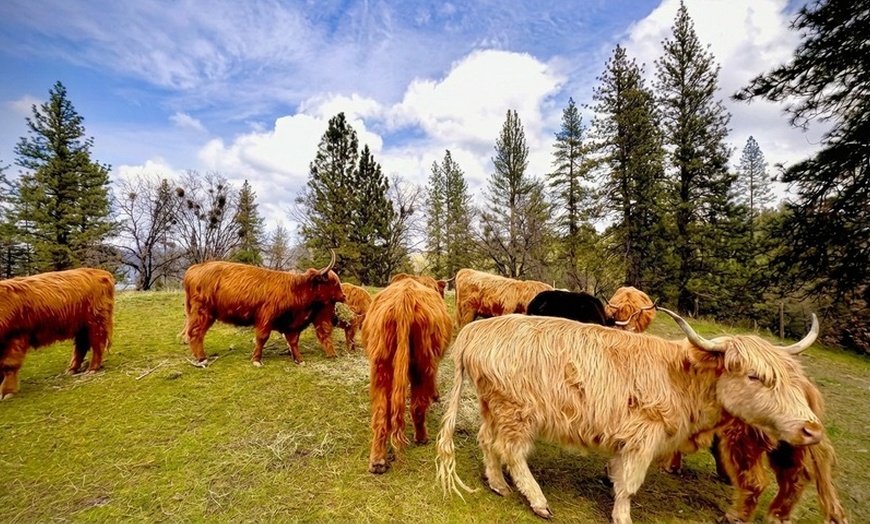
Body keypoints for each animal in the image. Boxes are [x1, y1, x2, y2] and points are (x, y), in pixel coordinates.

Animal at [1, 268, 115, 399]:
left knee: (97, 343)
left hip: (96, 321)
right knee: (81, 345)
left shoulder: (17, 336)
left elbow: (8, 365)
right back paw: (71, 369)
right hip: (81, 326)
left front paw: (7, 392)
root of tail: (100, 272)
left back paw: (92, 369)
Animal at [180, 251, 345, 366]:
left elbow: (293, 341)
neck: (296, 290)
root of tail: (196, 268)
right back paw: (202, 359)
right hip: (202, 311)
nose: (343, 295)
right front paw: (256, 360)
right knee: (196, 332)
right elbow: (262, 338)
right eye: (333, 283)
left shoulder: (292, 324)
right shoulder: (266, 318)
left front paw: (299, 359)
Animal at [362, 275, 453, 474]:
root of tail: (405, 300)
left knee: (381, 412)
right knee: (418, 405)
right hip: (424, 362)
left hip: (381, 364)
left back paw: (377, 461)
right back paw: (422, 437)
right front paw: (435, 395)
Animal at [435, 309, 823, 524]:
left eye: (792, 378)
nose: (812, 429)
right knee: (512, 452)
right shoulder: (644, 437)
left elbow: (617, 470)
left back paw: (498, 485)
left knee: (488, 442)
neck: (682, 377)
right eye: (755, 376)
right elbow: (630, 484)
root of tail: (477, 329)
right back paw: (538, 501)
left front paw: (609, 480)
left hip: (494, 406)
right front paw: (622, 515)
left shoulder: (625, 436)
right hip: (517, 411)